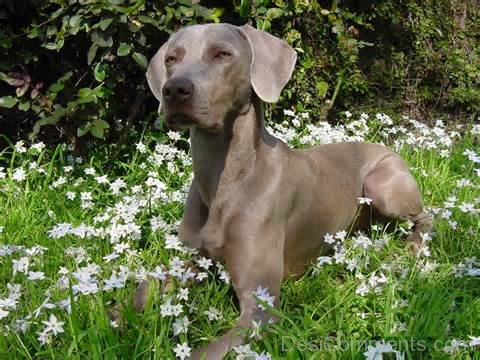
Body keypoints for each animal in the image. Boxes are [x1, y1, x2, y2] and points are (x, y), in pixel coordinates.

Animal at [144, 23, 434, 358]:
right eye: (171, 59)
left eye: (222, 54)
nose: (174, 89)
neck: (224, 180)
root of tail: (386, 146)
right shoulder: (188, 260)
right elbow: (139, 292)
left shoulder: (261, 308)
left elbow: (206, 352)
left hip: (382, 186)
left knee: (428, 216)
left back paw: (412, 247)